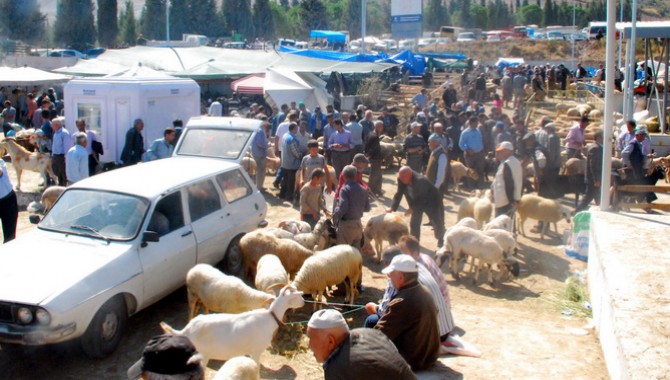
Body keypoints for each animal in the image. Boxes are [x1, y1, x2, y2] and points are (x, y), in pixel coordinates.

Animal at [161, 284, 306, 366]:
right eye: (297, 295)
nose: (304, 301)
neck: (270, 315)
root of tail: (187, 330)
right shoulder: (255, 351)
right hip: (202, 355)